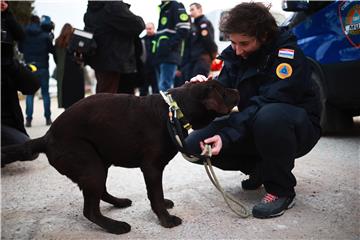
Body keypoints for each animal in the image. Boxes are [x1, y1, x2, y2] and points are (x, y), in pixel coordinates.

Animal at [3, 80, 239, 234]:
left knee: (100, 193)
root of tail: (46, 137)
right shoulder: (151, 167)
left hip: (99, 163)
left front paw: (164, 205)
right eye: (224, 92)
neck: (174, 111)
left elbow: (156, 194)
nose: (237, 89)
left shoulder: (152, 169)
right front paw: (165, 219)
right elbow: (155, 195)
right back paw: (115, 227)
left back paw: (119, 203)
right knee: (90, 210)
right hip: (90, 164)